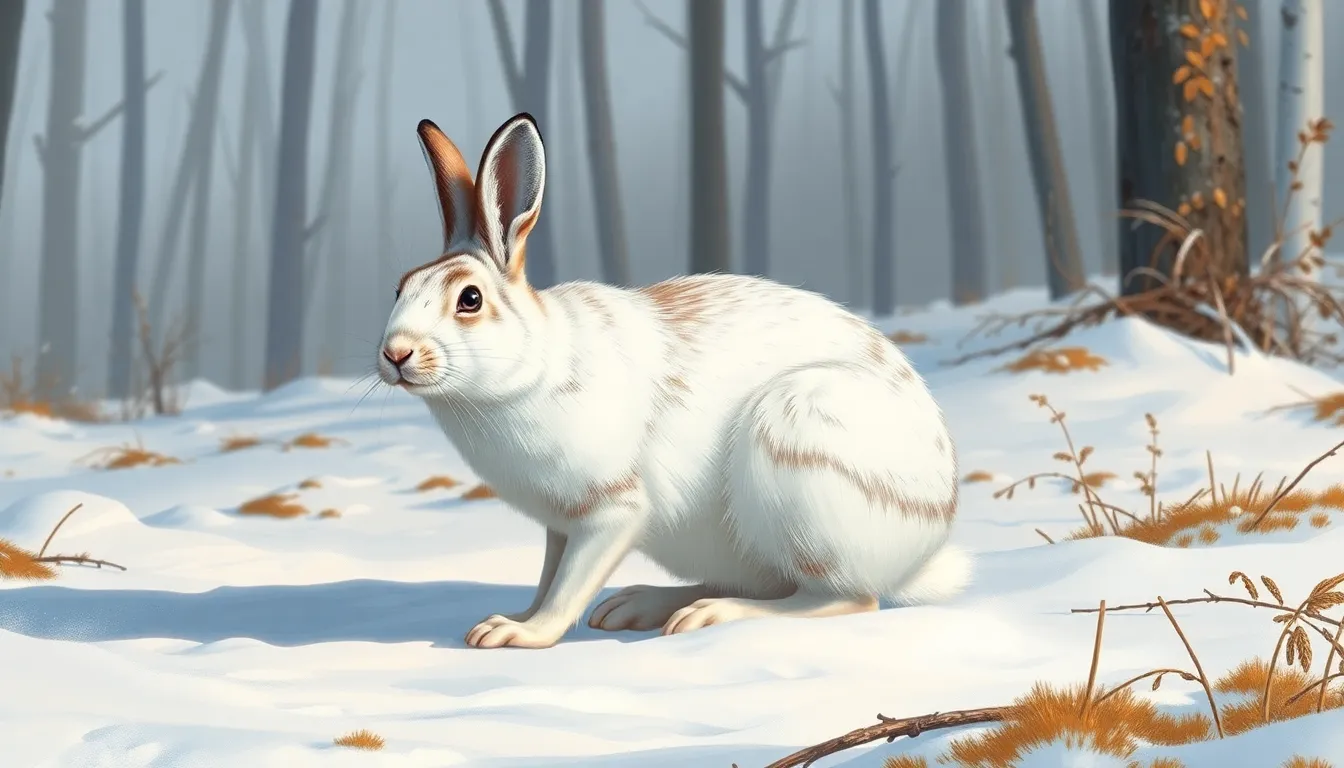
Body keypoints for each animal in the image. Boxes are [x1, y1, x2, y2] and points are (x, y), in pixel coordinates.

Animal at [377, 112, 970, 649]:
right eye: (400, 287)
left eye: (470, 299)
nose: (395, 354)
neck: (534, 362)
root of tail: (922, 550)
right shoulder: (559, 523)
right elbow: (549, 575)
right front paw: (513, 617)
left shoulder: (612, 509)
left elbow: (570, 583)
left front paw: (517, 633)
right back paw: (639, 605)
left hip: (798, 448)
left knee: (841, 598)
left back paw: (709, 615)